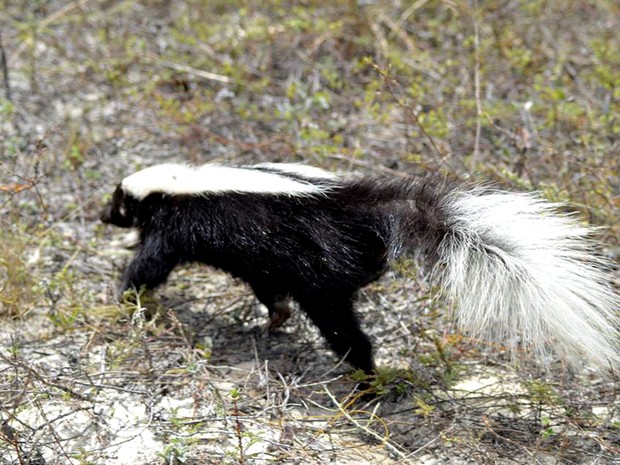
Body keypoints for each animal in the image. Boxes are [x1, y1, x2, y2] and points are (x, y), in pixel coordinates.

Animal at [99, 163, 616, 374]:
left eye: (116, 202)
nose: (100, 216)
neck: (175, 185)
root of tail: (359, 210)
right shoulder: (261, 262)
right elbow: (267, 290)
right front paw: (273, 320)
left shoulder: (177, 225)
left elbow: (150, 264)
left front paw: (125, 296)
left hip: (320, 275)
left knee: (345, 332)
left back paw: (366, 380)